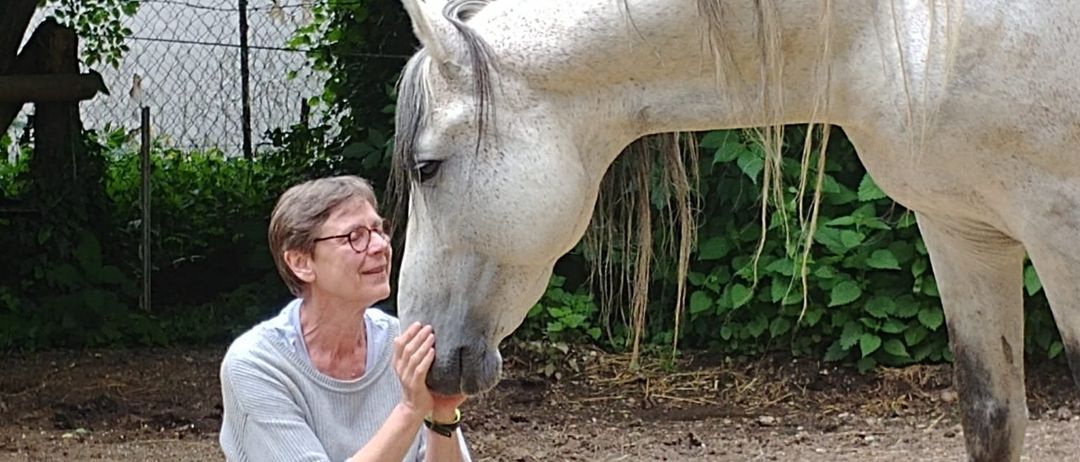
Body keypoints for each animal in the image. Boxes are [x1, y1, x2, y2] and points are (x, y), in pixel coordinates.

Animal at [390, 1, 1080, 460]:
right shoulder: (963, 232)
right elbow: (990, 416)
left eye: (426, 167)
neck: (894, 28)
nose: (421, 348)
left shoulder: (1057, 230)